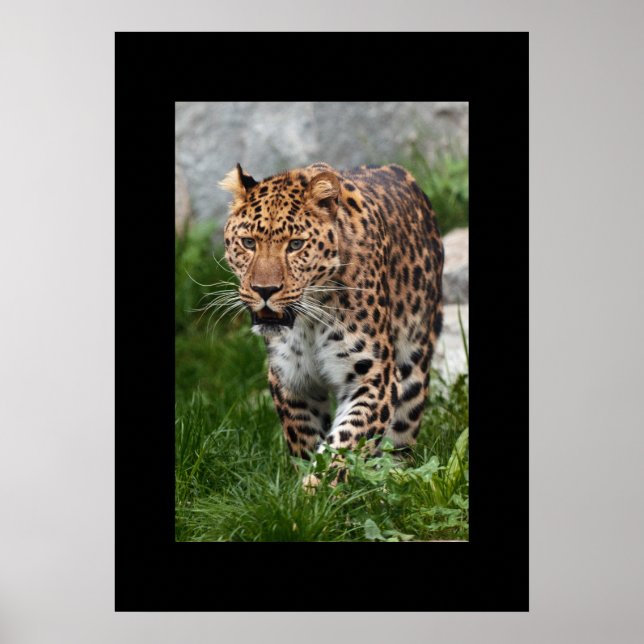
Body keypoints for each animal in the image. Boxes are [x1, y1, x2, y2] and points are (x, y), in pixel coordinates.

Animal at [220, 161, 444, 472]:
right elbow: (305, 440)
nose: (264, 290)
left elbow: (345, 444)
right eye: (248, 243)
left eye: (296, 245)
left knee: (400, 437)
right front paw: (305, 481)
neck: (308, 321)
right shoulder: (290, 378)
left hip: (414, 362)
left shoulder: (374, 377)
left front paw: (319, 482)